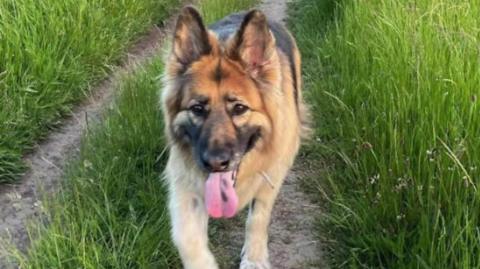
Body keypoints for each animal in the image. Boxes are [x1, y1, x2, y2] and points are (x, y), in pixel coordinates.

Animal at [162, 6, 308, 268]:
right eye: (197, 109)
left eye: (239, 108)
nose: (215, 163)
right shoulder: (184, 182)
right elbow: (187, 239)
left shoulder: (271, 174)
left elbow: (257, 218)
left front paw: (254, 258)